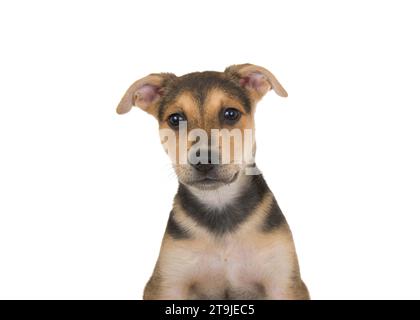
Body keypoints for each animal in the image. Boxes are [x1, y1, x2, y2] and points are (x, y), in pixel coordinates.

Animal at [116, 63, 306, 298]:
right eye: (175, 119)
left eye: (230, 114)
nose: (203, 160)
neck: (218, 202)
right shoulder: (168, 283)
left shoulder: (283, 282)